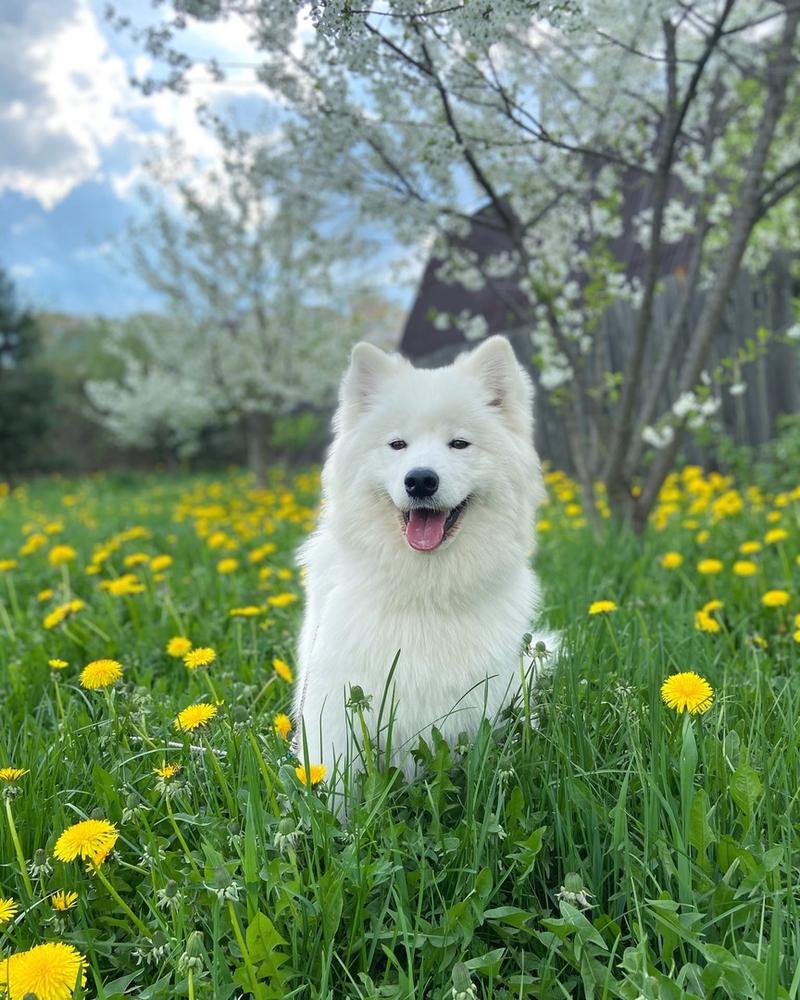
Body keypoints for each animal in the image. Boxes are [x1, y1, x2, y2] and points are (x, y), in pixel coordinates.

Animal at [292, 336, 556, 788]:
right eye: (398, 444)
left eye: (459, 444)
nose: (419, 480)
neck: (426, 590)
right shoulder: (335, 712)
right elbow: (333, 786)